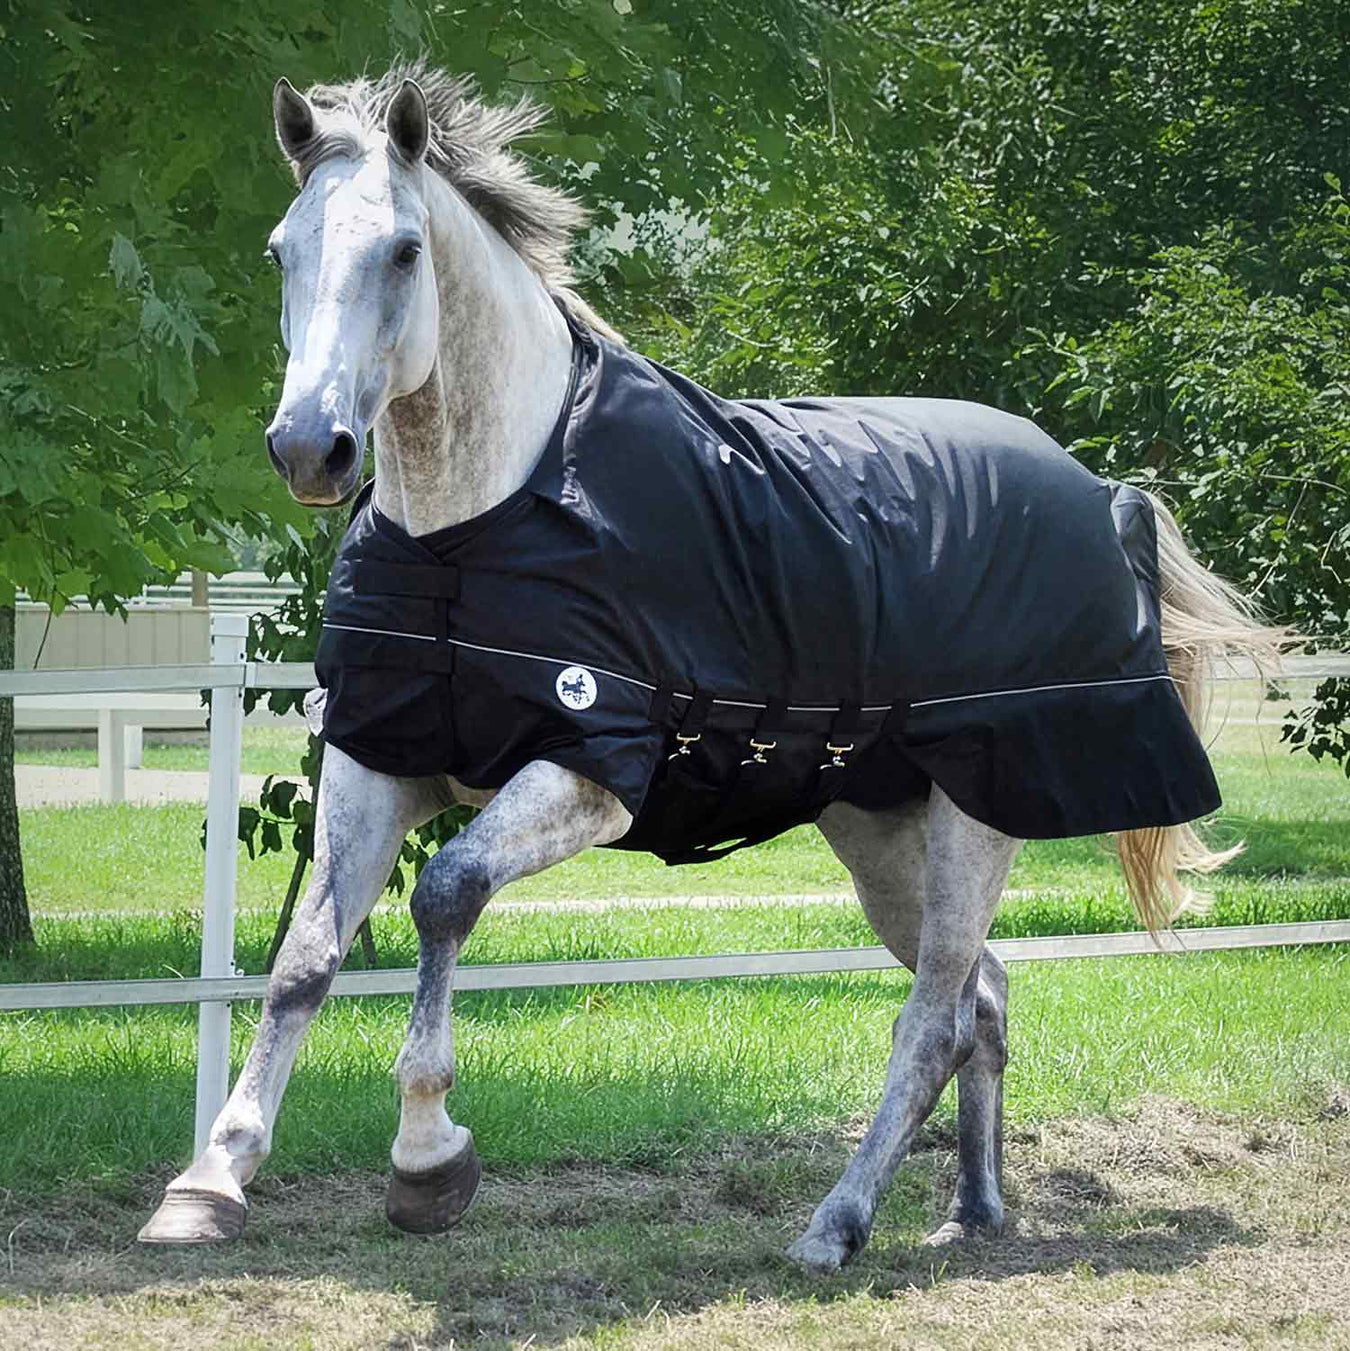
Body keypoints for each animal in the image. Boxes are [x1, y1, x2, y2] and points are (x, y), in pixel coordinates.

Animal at [136, 64, 1282, 1271]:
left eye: (404, 250)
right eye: (281, 250)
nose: (312, 449)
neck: (480, 521)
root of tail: (1101, 491)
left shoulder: (588, 767)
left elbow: (446, 894)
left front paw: (427, 1157)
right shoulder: (378, 758)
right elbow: (306, 956)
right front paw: (210, 1179)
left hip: (977, 820)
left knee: (933, 1018)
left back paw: (835, 1226)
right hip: (883, 836)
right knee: (985, 997)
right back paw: (971, 1209)